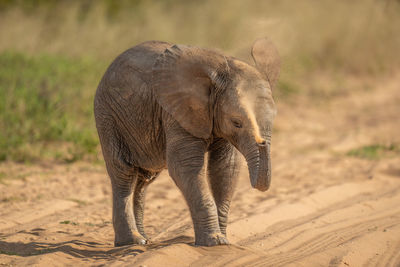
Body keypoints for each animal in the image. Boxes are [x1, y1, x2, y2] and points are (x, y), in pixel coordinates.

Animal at [95, 38, 280, 248]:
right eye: (236, 123)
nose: (262, 142)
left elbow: (225, 168)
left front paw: (223, 240)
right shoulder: (176, 110)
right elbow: (185, 166)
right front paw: (215, 242)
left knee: (144, 179)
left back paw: (143, 239)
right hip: (107, 116)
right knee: (123, 173)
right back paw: (132, 241)